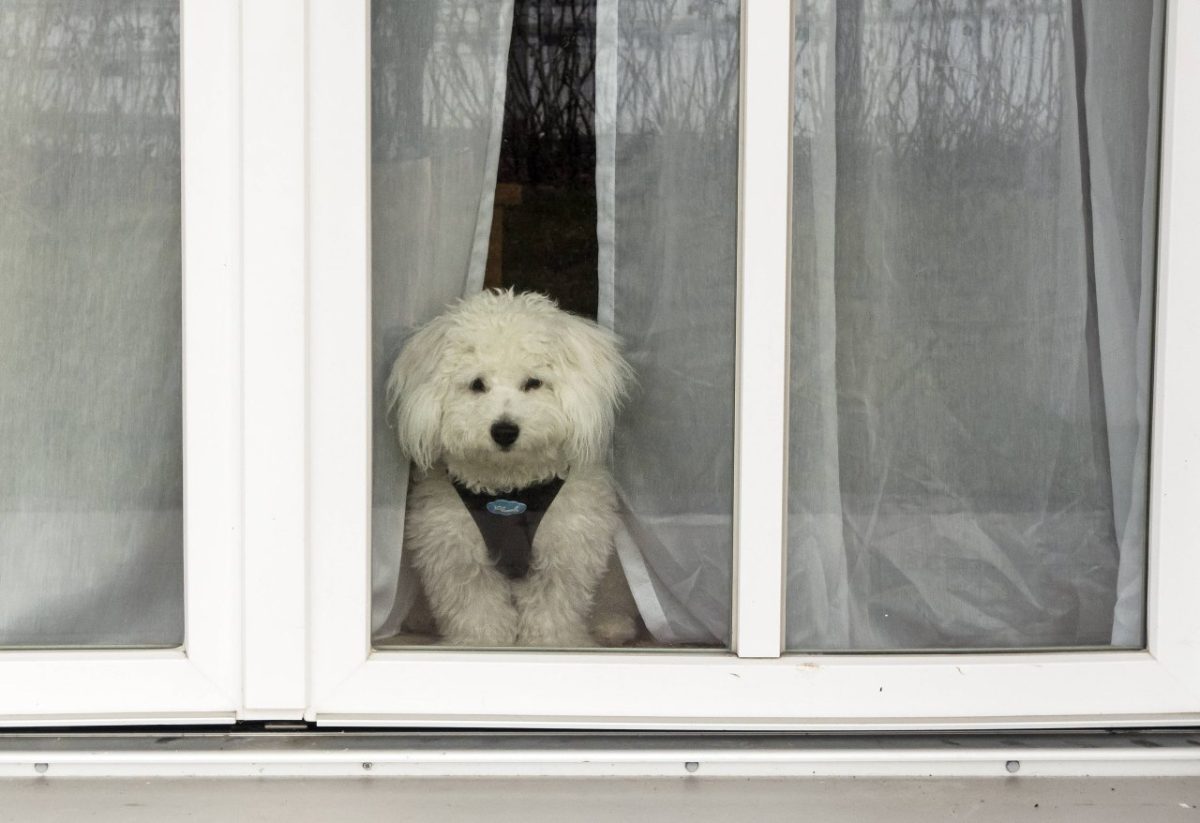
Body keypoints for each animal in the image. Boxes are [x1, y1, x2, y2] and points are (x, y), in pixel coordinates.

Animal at [388, 293, 638, 647]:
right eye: (477, 385)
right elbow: (478, 612)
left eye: (533, 383)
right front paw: (479, 645)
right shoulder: (459, 557)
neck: (510, 487)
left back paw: (611, 625)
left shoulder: (564, 552)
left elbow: (552, 610)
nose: (504, 431)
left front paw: (552, 645)